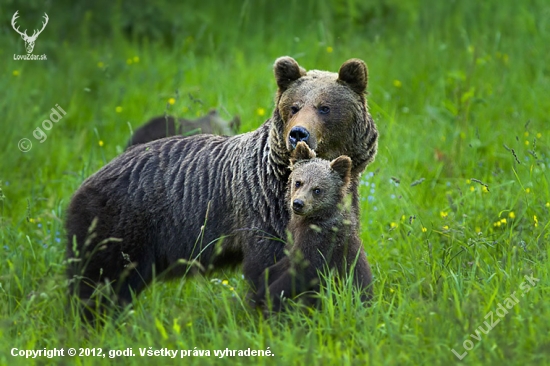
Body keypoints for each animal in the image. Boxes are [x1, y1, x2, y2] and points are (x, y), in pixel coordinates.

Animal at [67, 55, 380, 316]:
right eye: (294, 106)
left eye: (325, 107)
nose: (298, 133)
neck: (281, 175)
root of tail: (86, 181)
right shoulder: (263, 211)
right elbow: (268, 269)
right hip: (120, 227)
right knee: (98, 284)